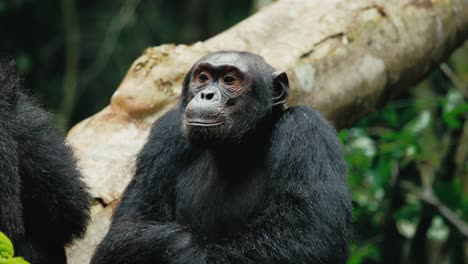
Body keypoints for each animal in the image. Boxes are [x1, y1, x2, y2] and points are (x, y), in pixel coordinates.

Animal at [90, 50, 352, 262]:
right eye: (203, 77)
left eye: (230, 80)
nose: (206, 94)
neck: (235, 147)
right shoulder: (165, 135)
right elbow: (129, 225)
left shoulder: (307, 129)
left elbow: (308, 236)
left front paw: (181, 248)